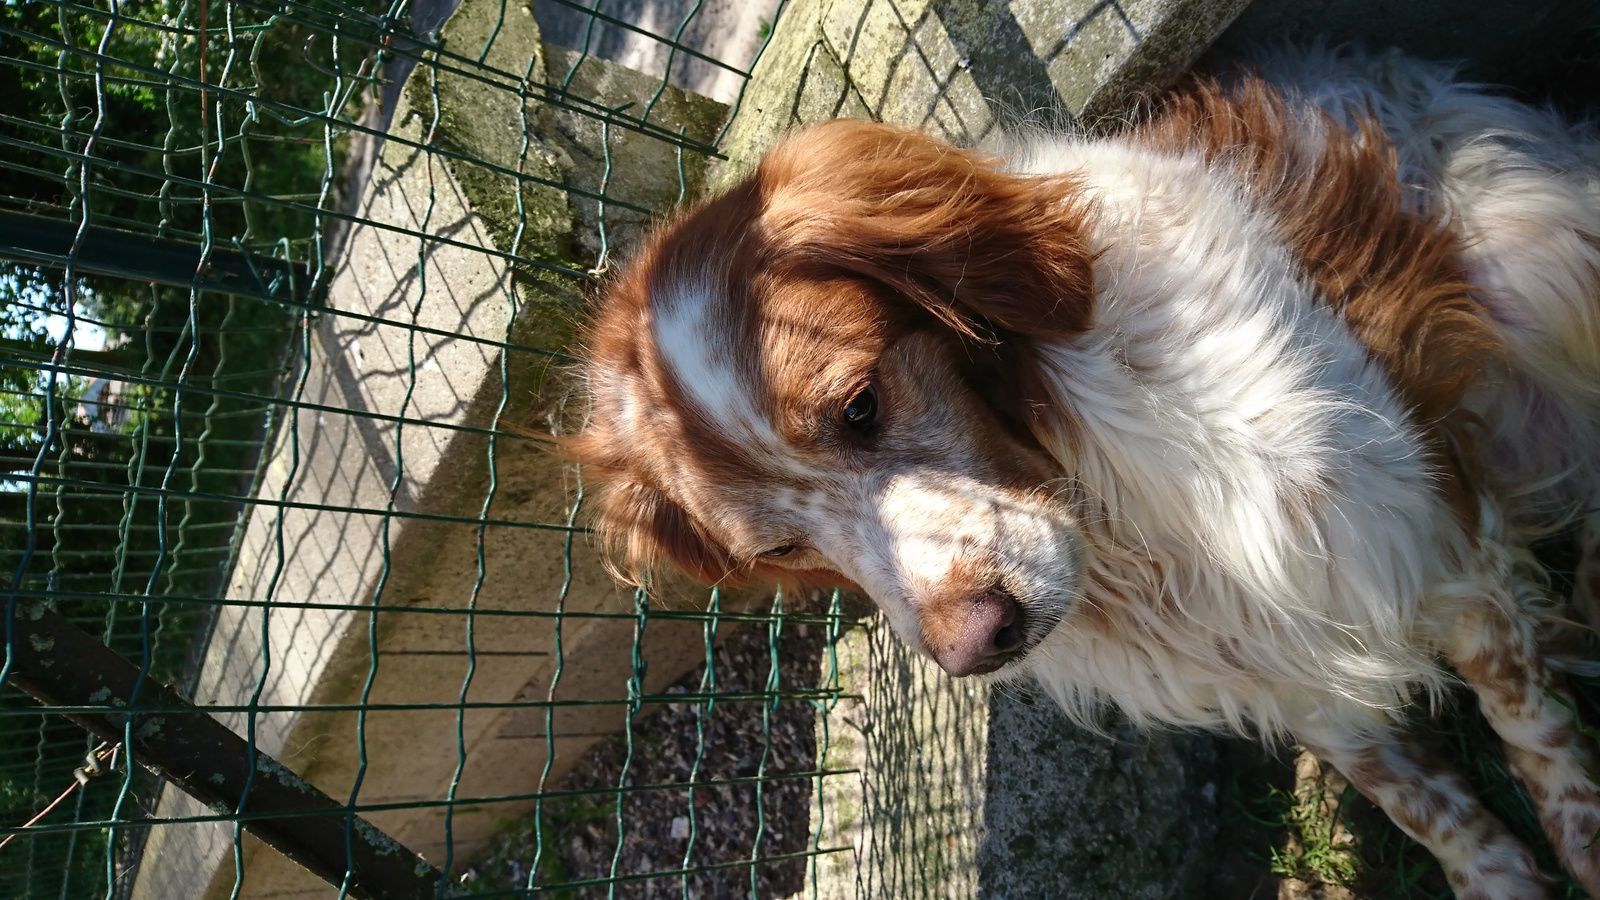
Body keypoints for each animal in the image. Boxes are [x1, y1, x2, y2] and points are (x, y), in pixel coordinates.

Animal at [572, 49, 1600, 896]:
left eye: (860, 407)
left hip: (1543, 258)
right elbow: (1422, 803)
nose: (974, 646)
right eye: (782, 547)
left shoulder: (1431, 541)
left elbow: (1534, 732)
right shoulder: (1291, 669)